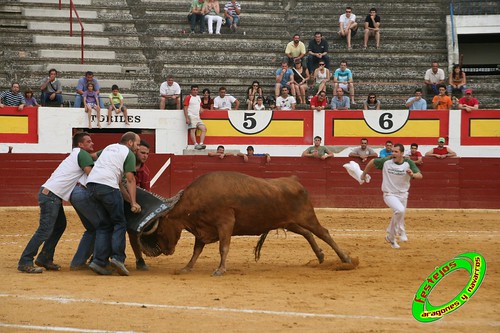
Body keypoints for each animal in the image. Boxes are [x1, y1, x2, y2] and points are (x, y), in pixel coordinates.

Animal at [141, 171, 358, 274]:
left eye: (159, 231)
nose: (162, 251)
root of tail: (294, 180)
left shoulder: (225, 223)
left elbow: (223, 247)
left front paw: (220, 269)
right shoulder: (203, 229)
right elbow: (197, 250)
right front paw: (187, 267)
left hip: (307, 216)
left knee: (324, 233)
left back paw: (346, 259)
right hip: (289, 221)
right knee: (308, 233)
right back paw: (320, 256)